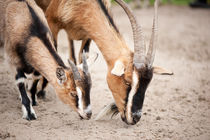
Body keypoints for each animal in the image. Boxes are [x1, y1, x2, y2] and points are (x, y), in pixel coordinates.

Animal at [34, 0, 172, 124]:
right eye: (127, 82)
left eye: (147, 84)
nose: (135, 118)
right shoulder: (51, 22)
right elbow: (50, 49)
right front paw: (40, 92)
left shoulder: (88, 34)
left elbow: (83, 58)